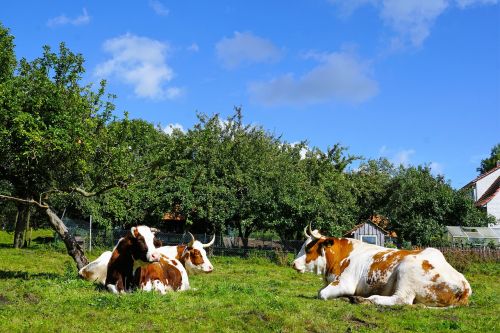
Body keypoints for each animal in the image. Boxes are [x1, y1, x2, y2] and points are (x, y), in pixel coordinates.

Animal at [292, 224, 470, 304]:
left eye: (308, 248)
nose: (293, 263)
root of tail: (464, 284)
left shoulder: (345, 283)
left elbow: (321, 293)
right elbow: (319, 290)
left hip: (406, 271)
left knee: (402, 300)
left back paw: (371, 299)